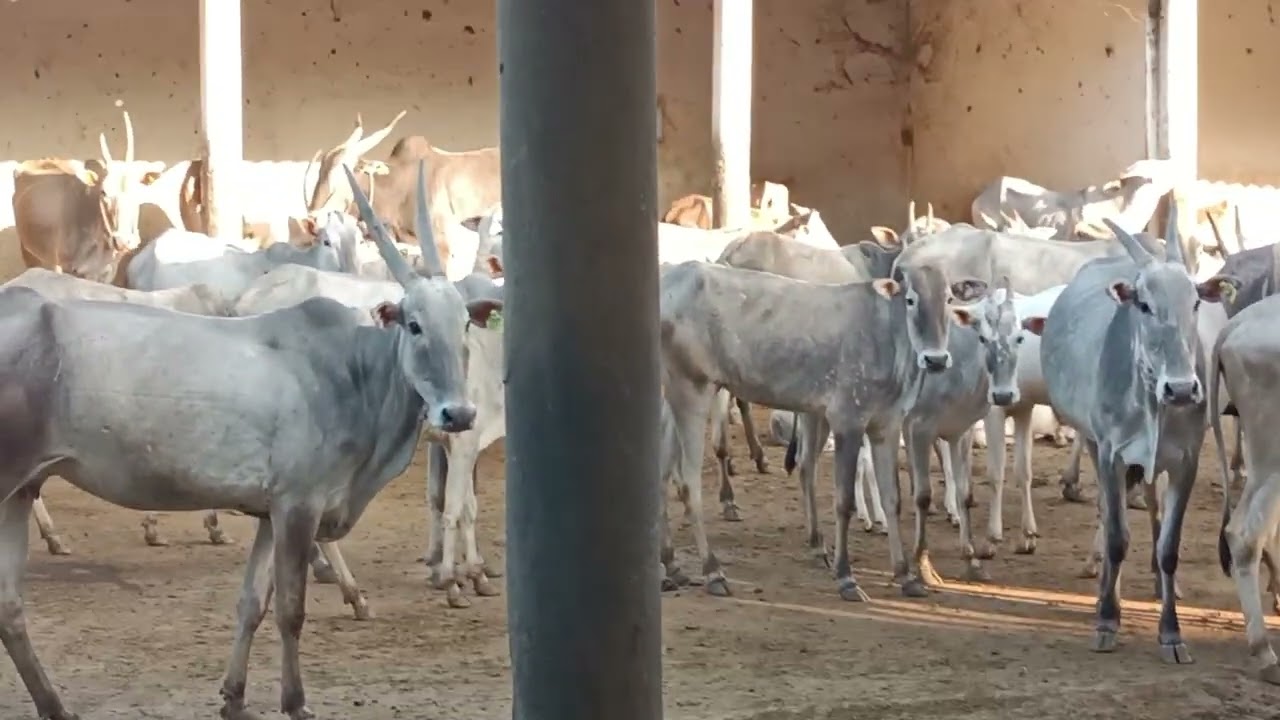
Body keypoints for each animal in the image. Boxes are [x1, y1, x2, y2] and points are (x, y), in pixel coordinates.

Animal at [0, 161, 503, 720]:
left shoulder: (268, 513)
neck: (352, 371)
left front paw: (235, 697)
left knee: (10, 607)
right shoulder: (298, 507)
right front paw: (295, 701)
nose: (458, 413)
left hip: (22, 490)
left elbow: (251, 604)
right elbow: (289, 610)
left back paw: (54, 704)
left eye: (465, 323)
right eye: (413, 325)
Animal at [11, 111, 165, 284]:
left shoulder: (104, 273)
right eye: (103, 192)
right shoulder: (65, 269)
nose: (123, 241)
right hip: (29, 251)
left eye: (138, 190)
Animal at [657, 259, 986, 600]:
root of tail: (673, 274)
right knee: (689, 483)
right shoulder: (848, 421)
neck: (886, 337)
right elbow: (844, 501)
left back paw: (673, 566)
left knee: (662, 473)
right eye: (910, 300)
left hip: (671, 396)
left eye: (949, 300)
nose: (936, 359)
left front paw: (906, 576)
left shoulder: (887, 425)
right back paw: (712, 571)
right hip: (693, 389)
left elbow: (892, 499)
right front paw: (846, 578)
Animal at [1031, 207, 1239, 662]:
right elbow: (1116, 537)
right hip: (1095, 445)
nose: (1182, 389)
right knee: (1110, 515)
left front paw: (1171, 632)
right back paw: (1104, 592)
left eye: (1195, 301)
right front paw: (1108, 620)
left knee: (1153, 512)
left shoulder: (1185, 460)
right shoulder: (1112, 454)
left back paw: (1162, 586)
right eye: (1143, 304)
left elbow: (1169, 547)